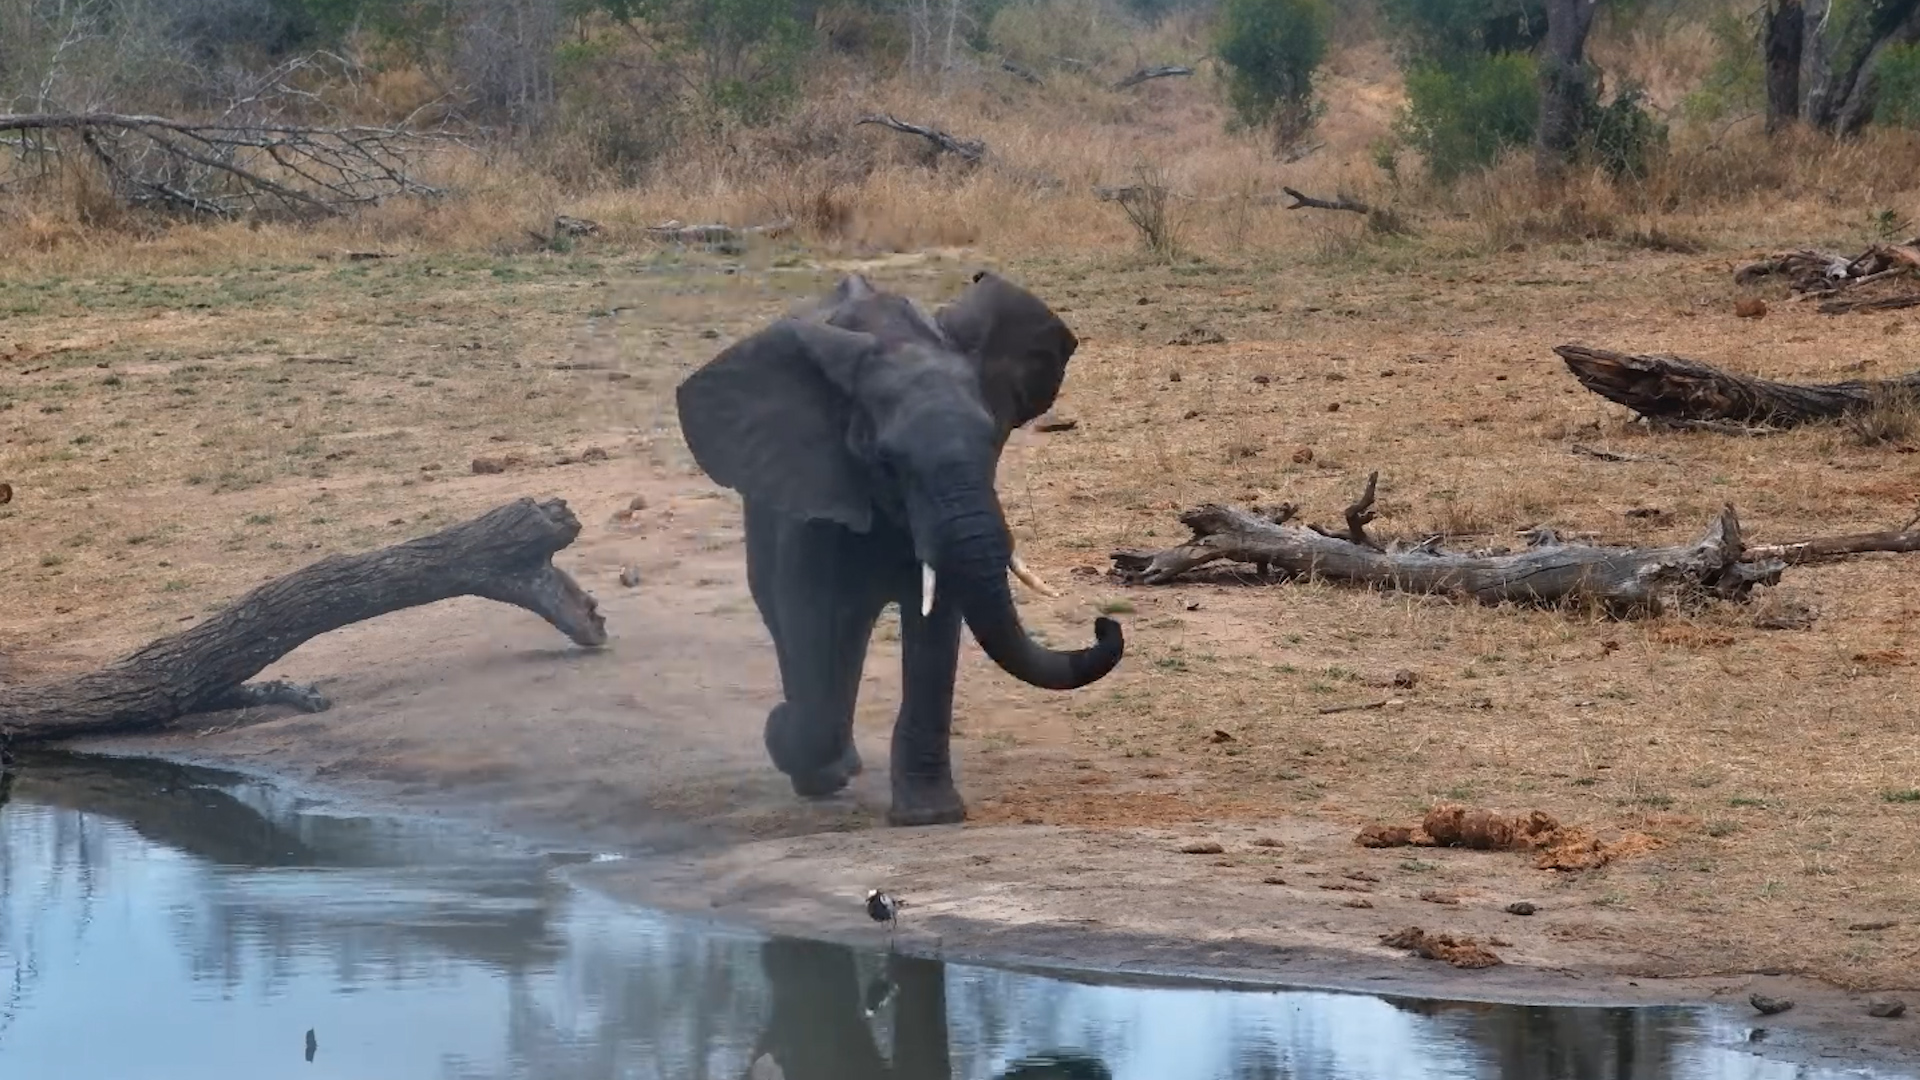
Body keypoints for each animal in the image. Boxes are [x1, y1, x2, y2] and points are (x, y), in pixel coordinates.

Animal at [675, 270, 1125, 826]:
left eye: (993, 442)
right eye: (886, 461)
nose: (1105, 624)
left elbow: (935, 627)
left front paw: (929, 816)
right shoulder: (814, 487)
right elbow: (809, 615)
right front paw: (785, 735)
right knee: (793, 619)